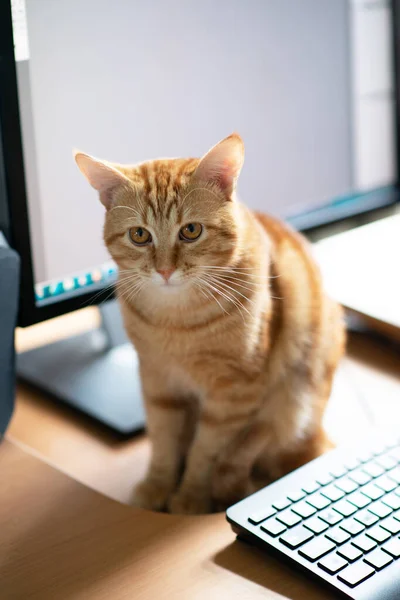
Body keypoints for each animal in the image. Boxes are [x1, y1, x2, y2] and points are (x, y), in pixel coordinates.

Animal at [75, 134, 344, 512]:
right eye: (139, 235)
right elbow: (162, 443)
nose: (165, 270)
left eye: (191, 230)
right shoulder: (157, 381)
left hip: (293, 399)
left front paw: (190, 497)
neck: (176, 323)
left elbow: (206, 451)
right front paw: (157, 486)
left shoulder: (233, 394)